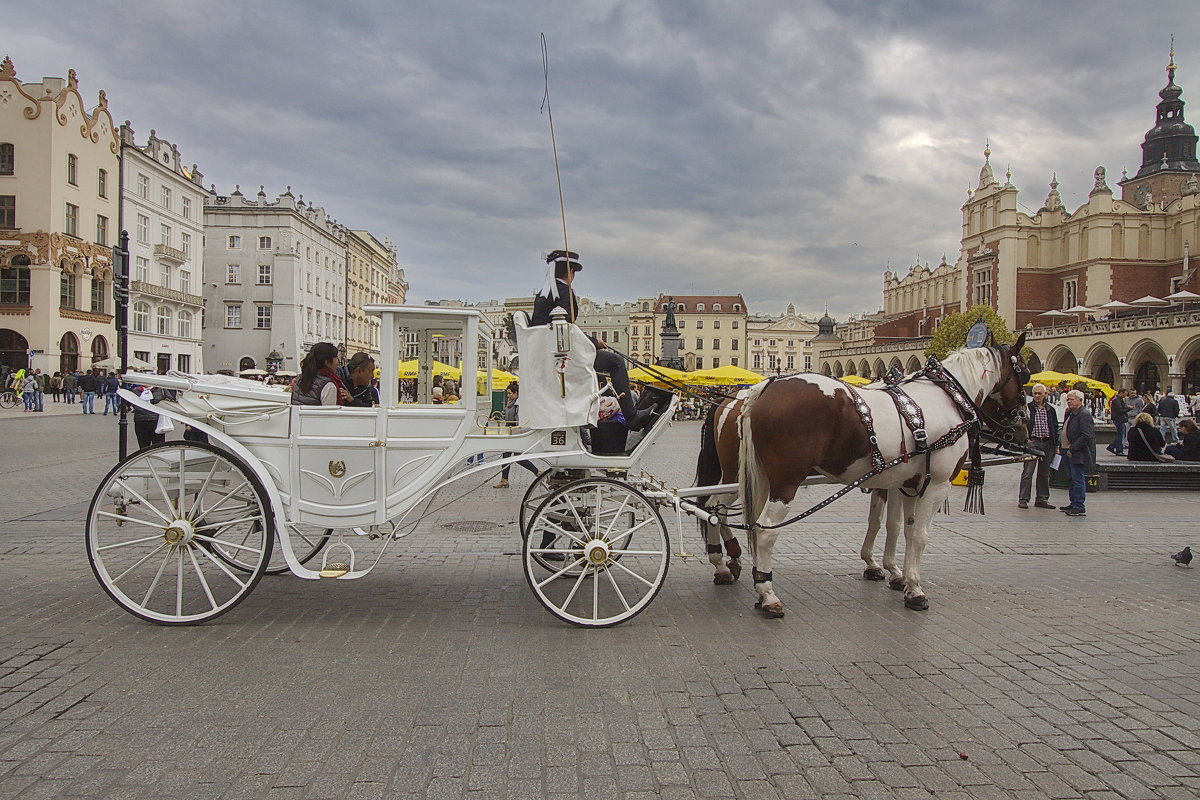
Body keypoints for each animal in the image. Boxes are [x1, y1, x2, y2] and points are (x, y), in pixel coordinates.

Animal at [696, 335, 1032, 618]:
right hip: (783, 481)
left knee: (716, 510)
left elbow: (900, 528)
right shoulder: (936, 484)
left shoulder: (906, 482)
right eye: (1026, 376)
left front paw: (896, 575)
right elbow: (918, 535)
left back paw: (727, 564)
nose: (1023, 427)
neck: (947, 399)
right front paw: (914, 588)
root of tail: (760, 389)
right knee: (764, 529)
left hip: (751, 476)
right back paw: (767, 593)